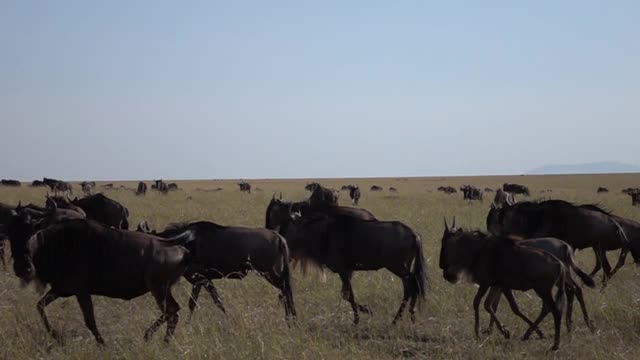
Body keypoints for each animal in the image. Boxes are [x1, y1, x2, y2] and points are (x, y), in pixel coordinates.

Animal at [6, 215, 192, 344]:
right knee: (174, 312)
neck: (56, 243)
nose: (22, 268)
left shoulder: (81, 291)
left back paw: (151, 337)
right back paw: (162, 342)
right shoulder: (60, 289)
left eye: (33, 233)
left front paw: (102, 344)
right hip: (162, 290)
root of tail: (181, 248)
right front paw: (56, 336)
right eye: (11, 236)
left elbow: (90, 320)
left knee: (171, 311)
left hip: (158, 289)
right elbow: (40, 306)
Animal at [440, 226, 568, 350]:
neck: (479, 251)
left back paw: (555, 345)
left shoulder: (486, 284)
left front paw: (477, 333)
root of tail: (560, 264)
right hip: (542, 291)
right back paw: (530, 334)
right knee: (547, 308)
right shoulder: (498, 285)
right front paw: (505, 331)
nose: (441, 265)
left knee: (555, 311)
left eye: (445, 243)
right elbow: (491, 305)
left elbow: (479, 303)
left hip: (543, 290)